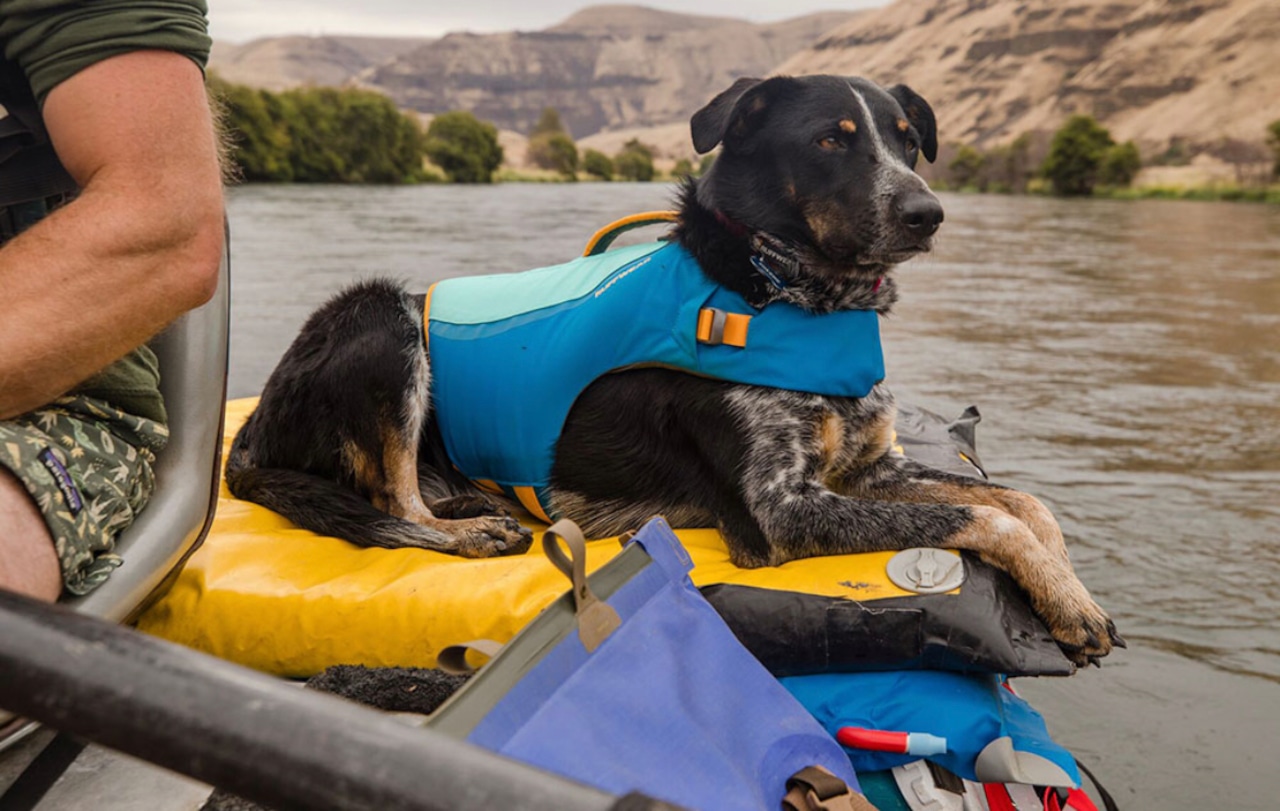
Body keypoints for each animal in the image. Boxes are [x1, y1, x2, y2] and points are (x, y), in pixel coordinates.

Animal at [230, 74, 1121, 665]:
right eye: (831, 139)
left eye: (907, 139)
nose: (927, 212)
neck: (778, 288)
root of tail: (252, 431)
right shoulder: (780, 511)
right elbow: (984, 518)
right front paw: (1060, 590)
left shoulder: (869, 470)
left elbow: (1022, 503)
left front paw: (1068, 593)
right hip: (380, 319)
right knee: (391, 498)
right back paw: (470, 526)